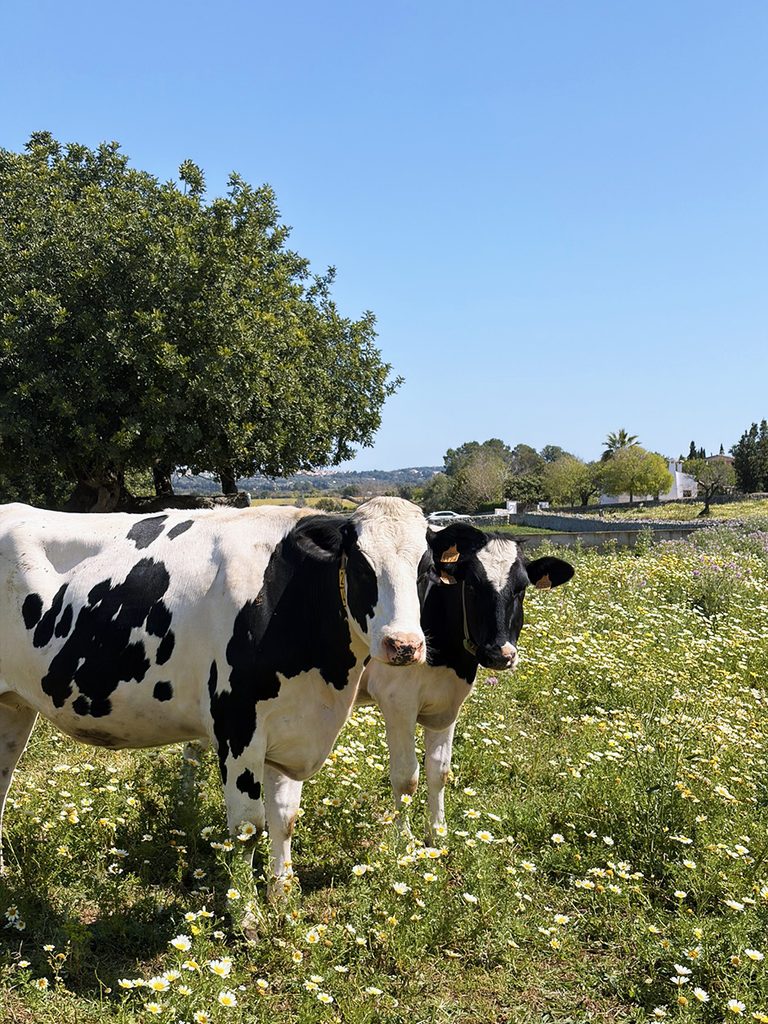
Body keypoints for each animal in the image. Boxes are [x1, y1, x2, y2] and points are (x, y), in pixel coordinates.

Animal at [0, 497, 428, 920]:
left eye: (425, 570)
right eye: (361, 566)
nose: (403, 645)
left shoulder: (291, 723)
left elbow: (285, 818)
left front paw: (283, 897)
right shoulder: (237, 724)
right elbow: (248, 827)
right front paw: (248, 916)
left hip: (13, 707)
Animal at [356, 522, 574, 839]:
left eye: (521, 589)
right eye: (471, 585)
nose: (499, 654)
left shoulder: (448, 703)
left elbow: (439, 770)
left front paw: (437, 832)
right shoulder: (397, 702)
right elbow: (406, 776)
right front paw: (404, 840)